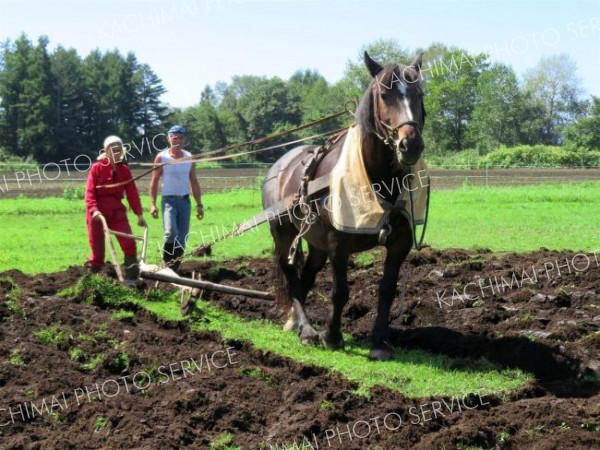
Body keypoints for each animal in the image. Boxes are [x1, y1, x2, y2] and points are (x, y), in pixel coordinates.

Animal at [262, 51, 426, 362]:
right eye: (384, 95)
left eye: (419, 93)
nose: (410, 145)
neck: (377, 178)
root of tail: (280, 165)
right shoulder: (338, 242)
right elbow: (340, 291)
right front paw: (332, 336)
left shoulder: (400, 242)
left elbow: (387, 289)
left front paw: (379, 342)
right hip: (284, 234)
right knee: (291, 278)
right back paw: (307, 330)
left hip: (315, 243)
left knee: (306, 277)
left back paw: (296, 321)